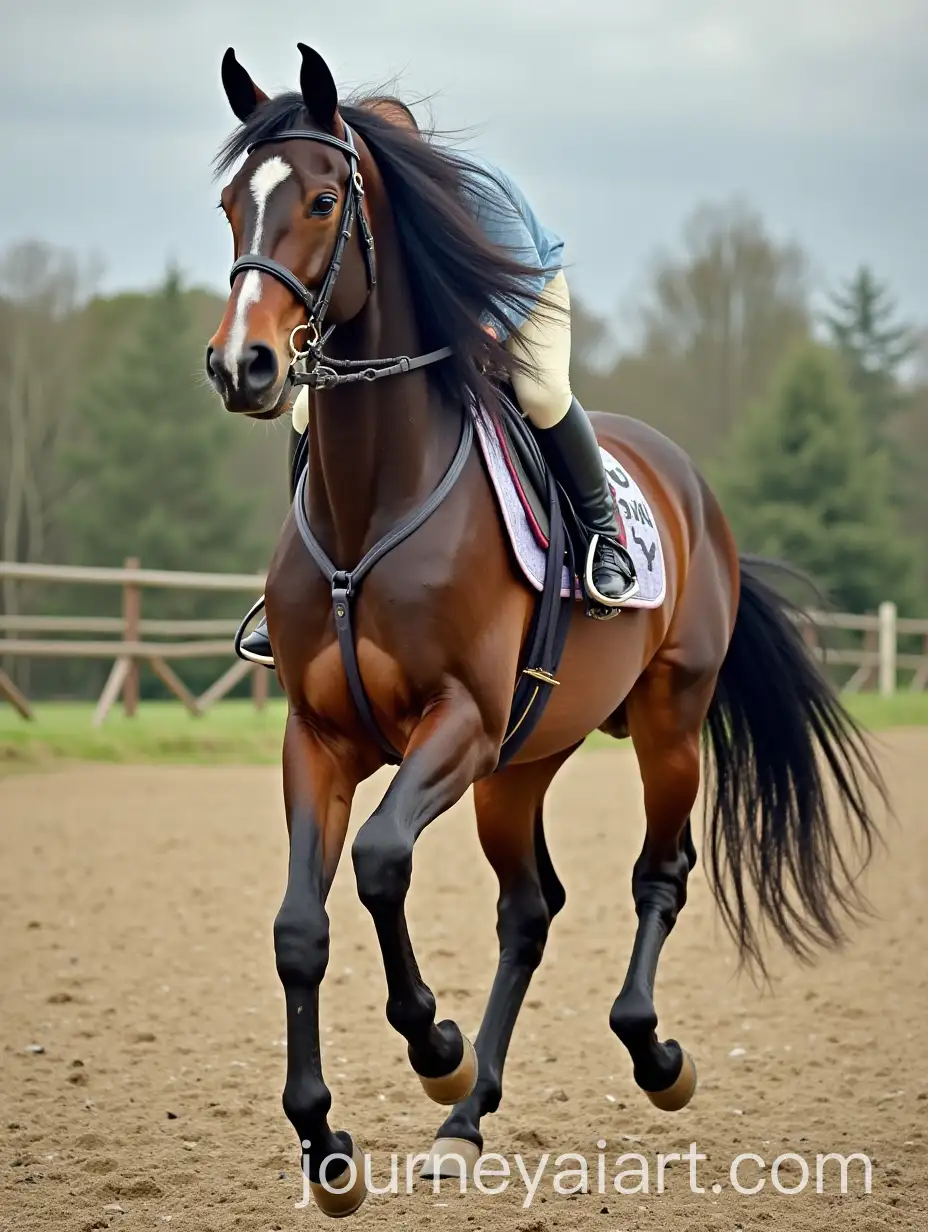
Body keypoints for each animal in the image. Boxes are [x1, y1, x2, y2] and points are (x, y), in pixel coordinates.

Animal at [206, 44, 886, 1217]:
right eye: (229, 206)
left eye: (325, 201)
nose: (243, 365)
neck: (371, 500)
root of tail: (692, 486)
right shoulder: (322, 738)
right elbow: (301, 927)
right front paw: (326, 1141)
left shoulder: (460, 722)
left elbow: (380, 862)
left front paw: (433, 1045)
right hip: (524, 762)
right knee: (529, 908)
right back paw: (466, 1119)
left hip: (663, 720)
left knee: (659, 871)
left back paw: (644, 1055)